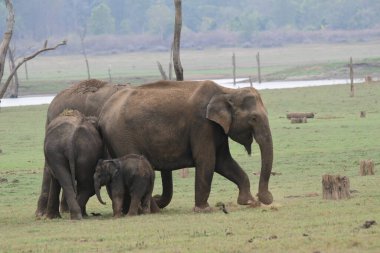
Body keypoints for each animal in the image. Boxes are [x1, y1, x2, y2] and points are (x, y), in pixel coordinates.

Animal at [98, 80, 274, 211]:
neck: (227, 91)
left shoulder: (217, 128)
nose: (265, 197)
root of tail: (103, 113)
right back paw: (153, 210)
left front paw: (249, 202)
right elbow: (207, 160)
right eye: (253, 118)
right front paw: (204, 210)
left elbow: (223, 161)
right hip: (122, 137)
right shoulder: (202, 124)